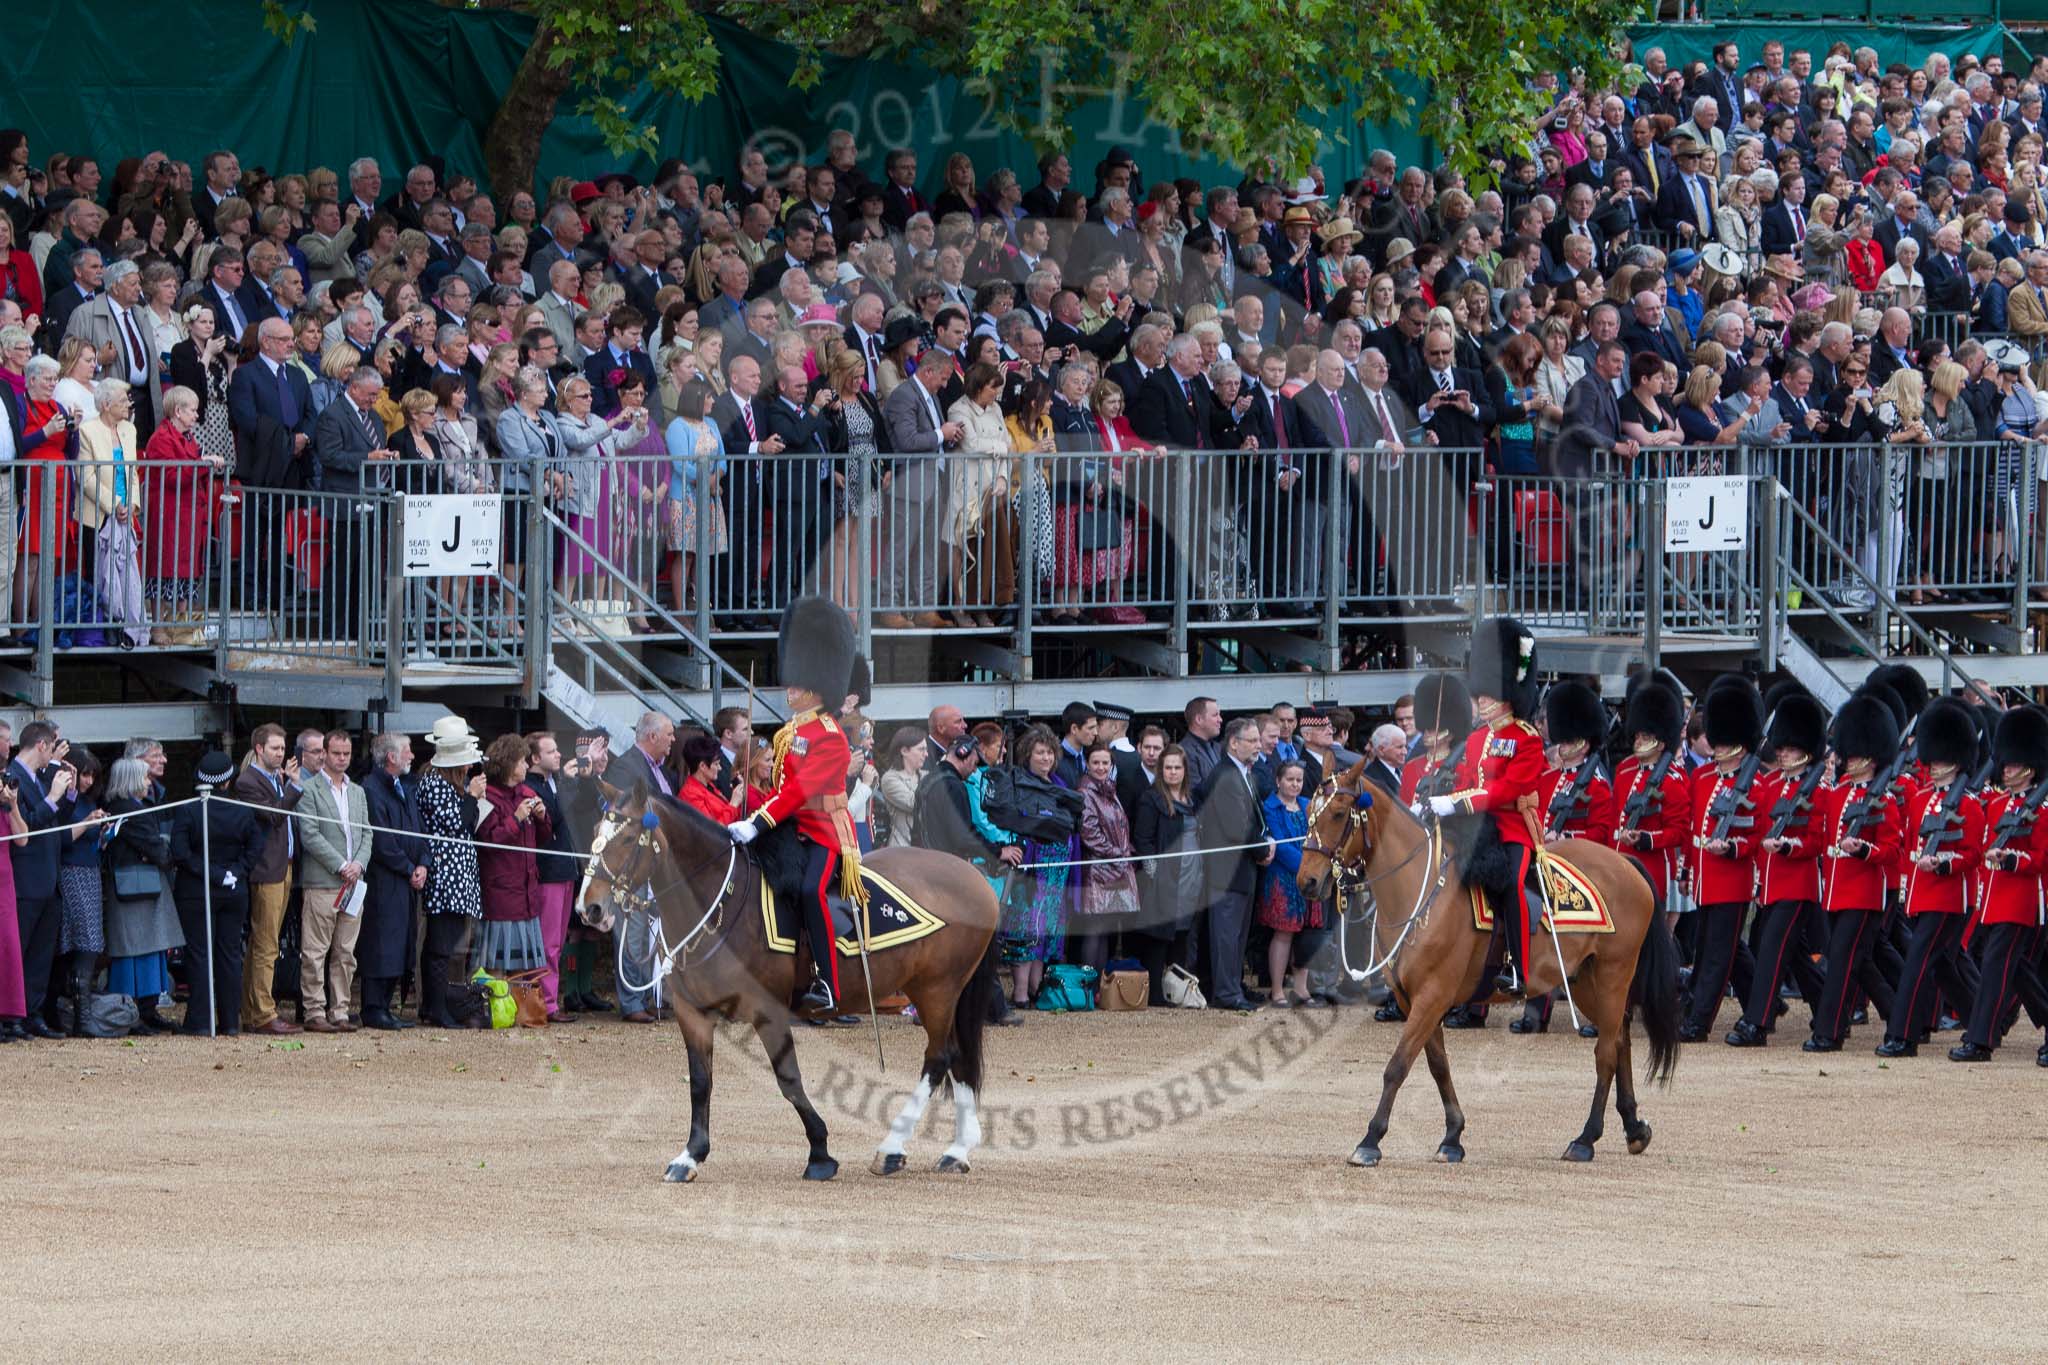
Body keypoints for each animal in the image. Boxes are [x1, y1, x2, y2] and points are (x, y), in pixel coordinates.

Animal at [577, 789, 999, 1186]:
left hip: (937, 989)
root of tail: (973, 875)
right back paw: (958, 1150)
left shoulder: (769, 1012)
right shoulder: (692, 1012)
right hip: (936, 991)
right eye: (595, 832)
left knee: (939, 1057)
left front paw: (820, 1153)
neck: (720, 903)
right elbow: (700, 1082)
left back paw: (892, 1148)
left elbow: (789, 1080)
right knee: (957, 1057)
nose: (589, 909)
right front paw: (690, 1156)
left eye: (627, 837)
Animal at [1294, 757, 1679, 1162]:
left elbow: (1397, 1066)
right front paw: (1452, 1136)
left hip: (1612, 975)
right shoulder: (1413, 998)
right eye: (1308, 813)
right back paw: (1633, 1127)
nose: (1307, 882)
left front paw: (1370, 1140)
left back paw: (1586, 1138)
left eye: (1338, 813)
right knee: (1619, 1039)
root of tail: (1624, 862)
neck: (1419, 890)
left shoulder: (1432, 996)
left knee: (1605, 1052)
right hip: (1585, 982)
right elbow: (1437, 1065)